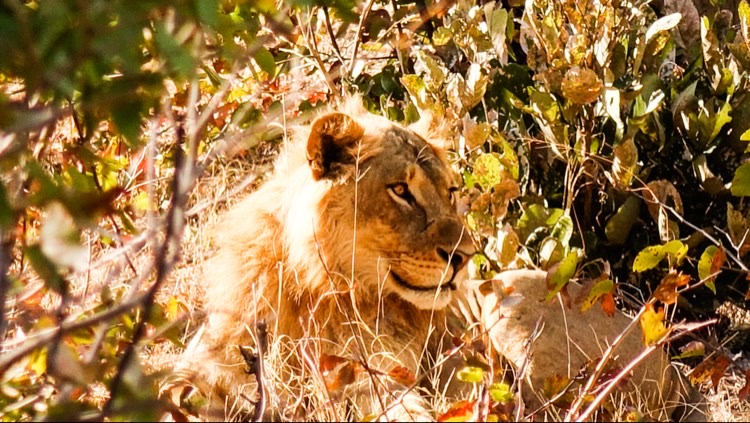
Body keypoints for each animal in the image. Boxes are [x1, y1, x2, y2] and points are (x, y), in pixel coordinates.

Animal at [173, 97, 708, 423]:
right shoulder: (212, 353)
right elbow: (181, 386)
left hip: (508, 303)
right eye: (401, 191)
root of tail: (672, 370)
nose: (464, 255)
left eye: (450, 192)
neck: (322, 288)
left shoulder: (381, 380)